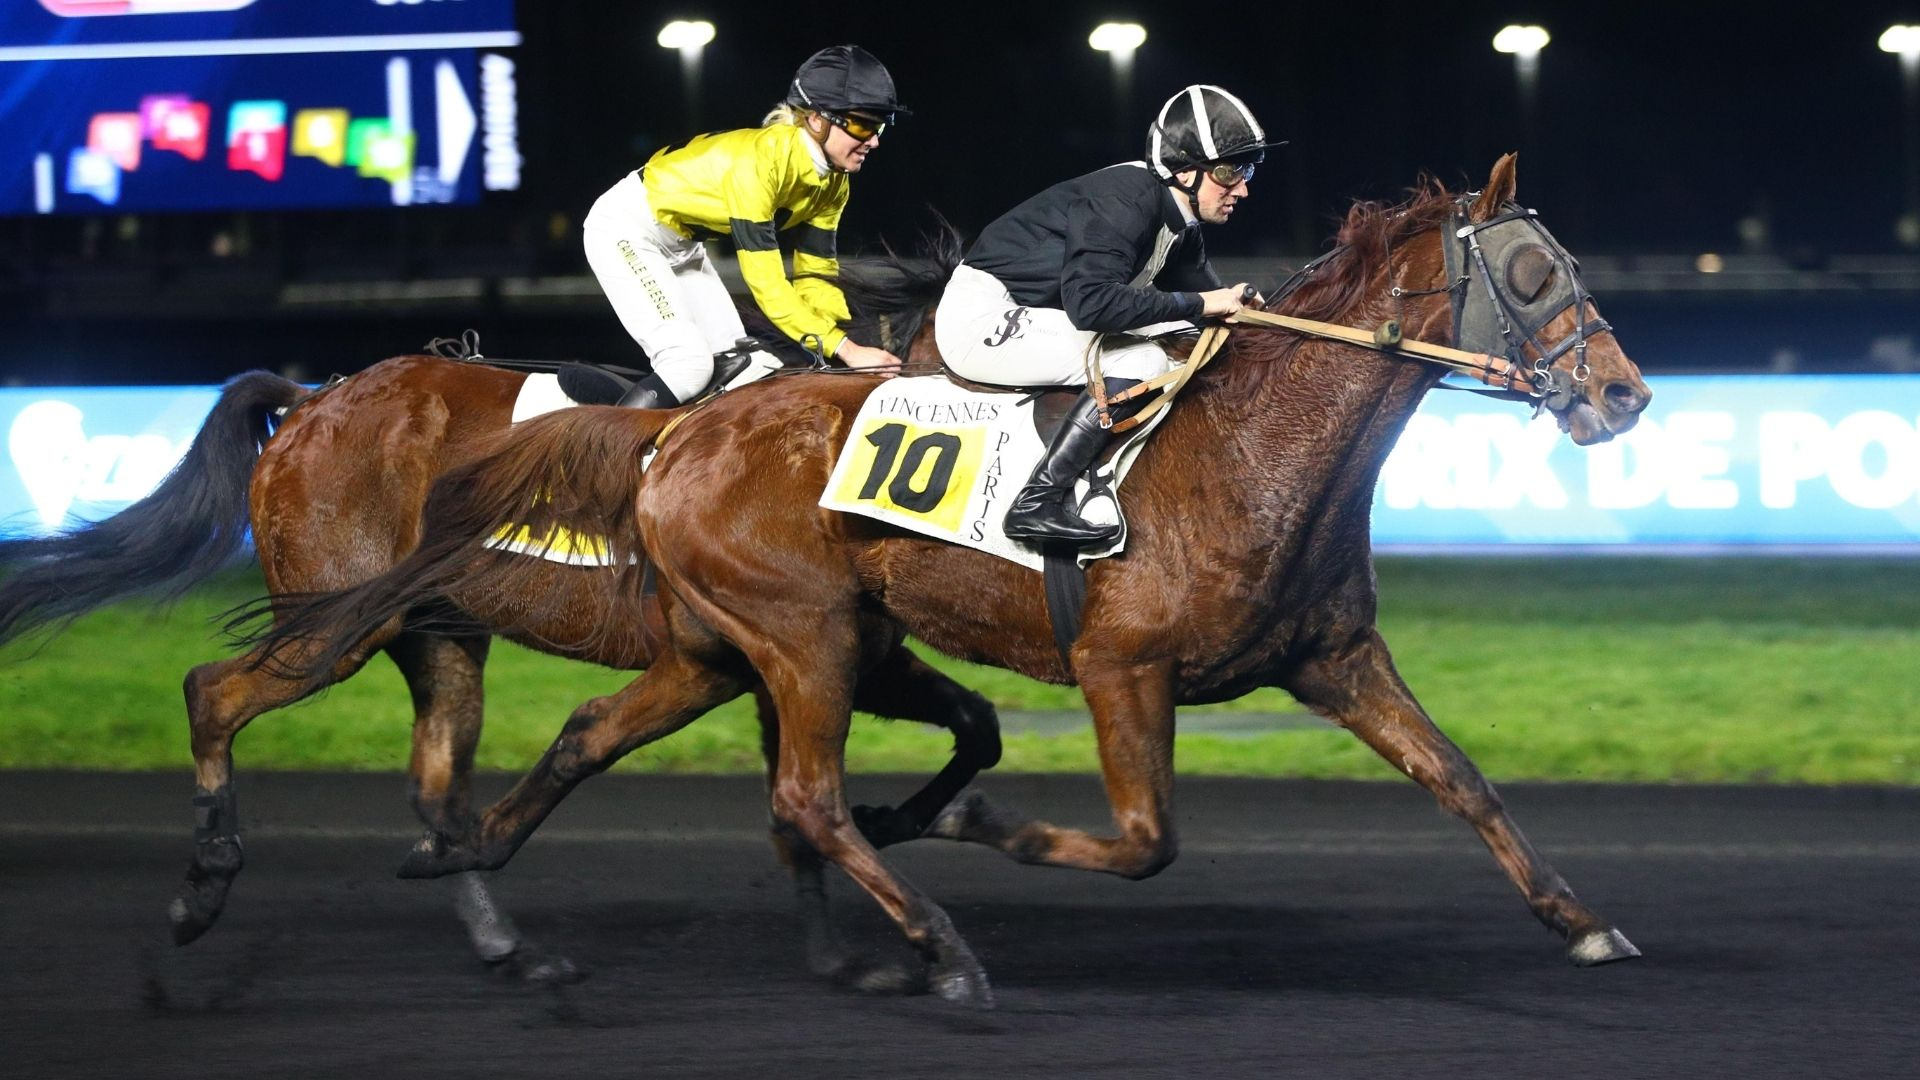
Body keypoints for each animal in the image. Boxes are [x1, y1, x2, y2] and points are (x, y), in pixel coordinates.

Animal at [0, 239, 993, 981]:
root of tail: (314, 398)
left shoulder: (833, 653)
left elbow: (966, 729)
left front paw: (883, 879)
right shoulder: (754, 652)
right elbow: (799, 793)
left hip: (437, 633)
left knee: (437, 787)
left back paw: (504, 941)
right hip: (335, 624)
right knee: (213, 693)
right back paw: (202, 889)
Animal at [251, 155, 1653, 1006]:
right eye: (1533, 270)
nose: (1627, 395)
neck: (1249, 448)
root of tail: (679, 437)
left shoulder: (1333, 657)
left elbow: (1462, 779)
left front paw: (1583, 920)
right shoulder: (1119, 665)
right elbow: (1144, 840)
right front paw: (985, 828)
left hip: (717, 645)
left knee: (592, 737)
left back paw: (472, 862)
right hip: (798, 635)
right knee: (800, 793)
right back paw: (940, 946)